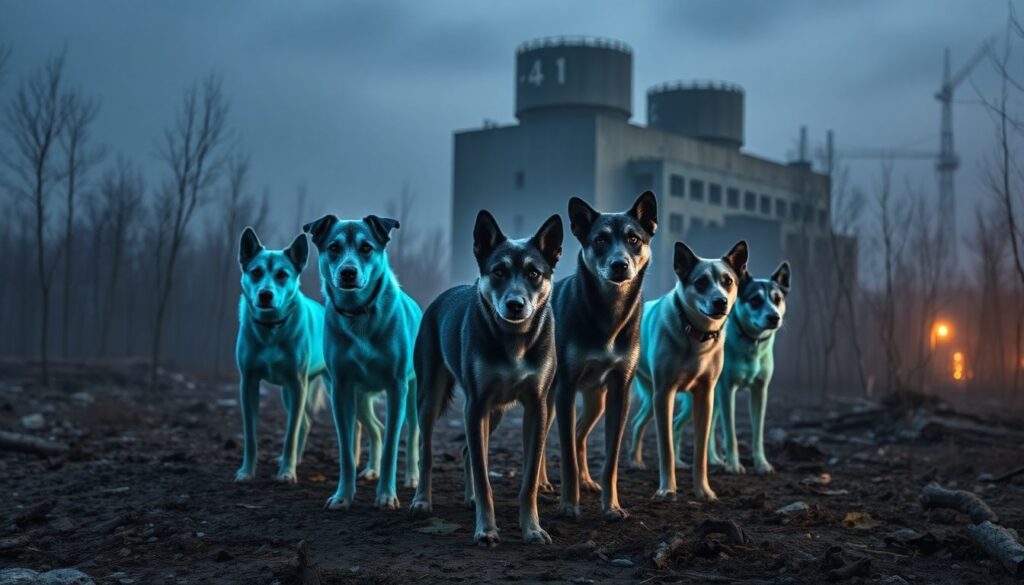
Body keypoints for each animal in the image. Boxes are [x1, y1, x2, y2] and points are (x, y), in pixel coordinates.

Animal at [301, 213, 421, 510]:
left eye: (366, 248)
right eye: (333, 247)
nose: (348, 272)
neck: (359, 315)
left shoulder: (397, 386)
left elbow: (392, 446)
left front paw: (386, 496)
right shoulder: (341, 387)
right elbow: (346, 448)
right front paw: (343, 496)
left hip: (414, 394)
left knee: (413, 434)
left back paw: (412, 477)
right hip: (361, 397)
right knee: (375, 429)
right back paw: (370, 470)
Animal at [409, 212, 569, 549]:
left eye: (534, 273)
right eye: (498, 271)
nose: (515, 304)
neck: (514, 341)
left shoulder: (536, 407)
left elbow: (528, 480)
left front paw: (531, 529)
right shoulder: (475, 405)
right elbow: (485, 481)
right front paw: (486, 530)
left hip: (494, 412)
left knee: (468, 452)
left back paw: (468, 499)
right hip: (431, 399)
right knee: (427, 453)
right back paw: (421, 501)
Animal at [626, 240, 749, 502]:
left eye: (728, 281)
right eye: (700, 282)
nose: (720, 301)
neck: (695, 334)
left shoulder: (705, 395)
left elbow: (701, 451)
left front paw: (704, 490)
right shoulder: (664, 394)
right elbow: (666, 448)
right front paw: (667, 489)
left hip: (650, 396)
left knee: (639, 421)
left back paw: (636, 461)